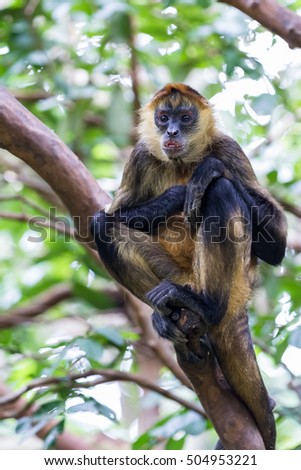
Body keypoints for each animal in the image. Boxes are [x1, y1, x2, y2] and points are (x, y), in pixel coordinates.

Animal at [91, 82, 286, 450]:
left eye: (185, 117)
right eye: (163, 117)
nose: (171, 132)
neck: (183, 162)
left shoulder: (227, 146)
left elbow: (277, 245)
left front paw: (209, 169)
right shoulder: (141, 155)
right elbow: (106, 217)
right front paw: (178, 195)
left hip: (233, 278)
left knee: (220, 190)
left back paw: (206, 307)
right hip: (175, 275)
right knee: (101, 225)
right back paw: (168, 314)